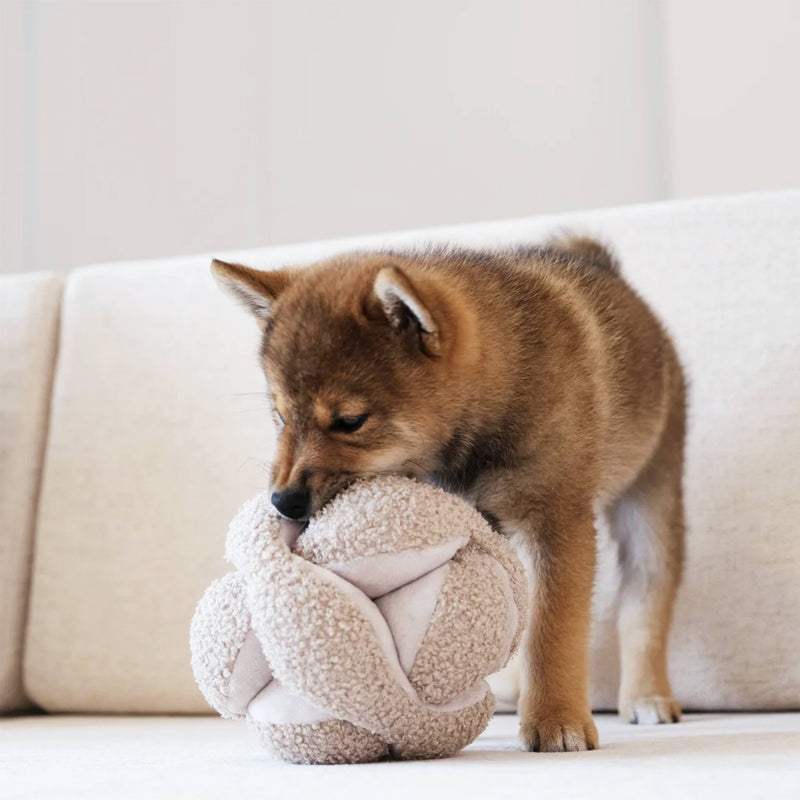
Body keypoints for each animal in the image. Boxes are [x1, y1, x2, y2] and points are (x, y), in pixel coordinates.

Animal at [214, 236, 688, 752]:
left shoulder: (557, 521)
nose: (283, 501)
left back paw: (646, 696)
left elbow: (552, 634)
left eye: (350, 421)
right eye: (280, 416)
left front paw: (556, 720)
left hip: (651, 501)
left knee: (645, 604)